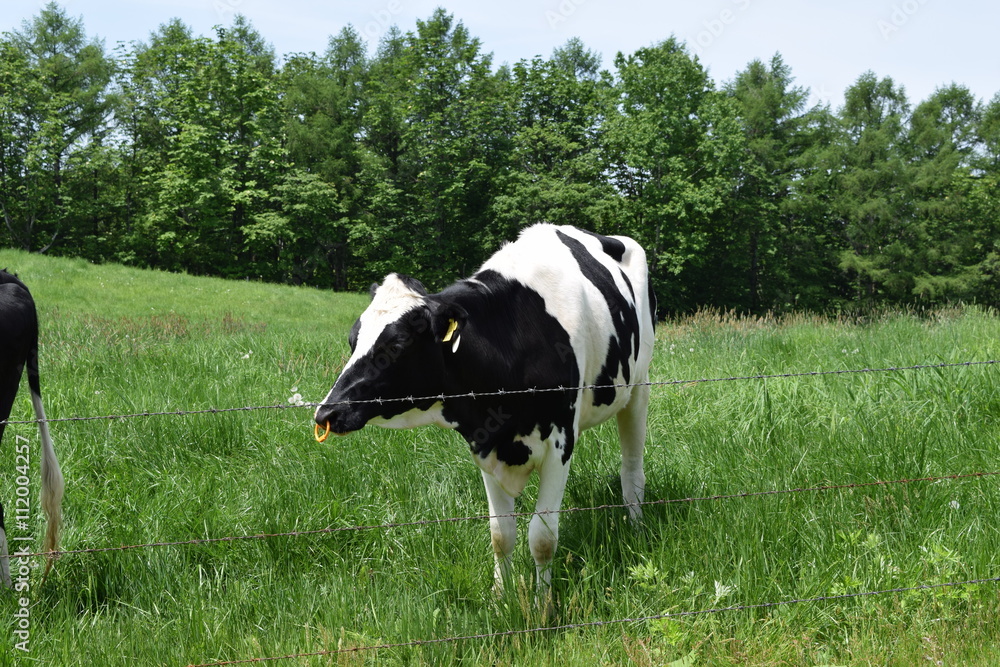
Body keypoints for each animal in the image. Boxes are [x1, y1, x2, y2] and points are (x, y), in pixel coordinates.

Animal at [314, 226, 656, 596]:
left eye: (397, 344)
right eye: (353, 340)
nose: (326, 413)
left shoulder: (560, 443)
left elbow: (543, 537)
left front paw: (542, 602)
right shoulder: (484, 443)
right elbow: (501, 534)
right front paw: (501, 597)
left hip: (639, 387)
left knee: (632, 470)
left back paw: (637, 529)